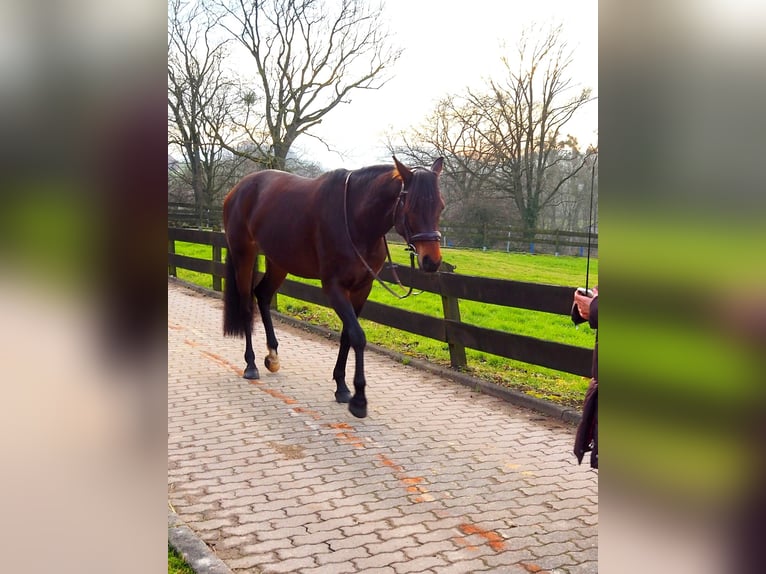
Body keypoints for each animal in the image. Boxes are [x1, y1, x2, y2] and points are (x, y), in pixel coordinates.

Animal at [222, 158, 444, 418]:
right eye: (411, 207)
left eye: (440, 206)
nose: (432, 261)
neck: (356, 220)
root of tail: (238, 189)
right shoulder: (334, 288)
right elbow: (358, 336)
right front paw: (359, 399)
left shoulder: (361, 289)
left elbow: (347, 336)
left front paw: (342, 387)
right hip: (244, 255)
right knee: (247, 305)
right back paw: (251, 364)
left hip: (279, 262)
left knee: (263, 296)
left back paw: (273, 356)